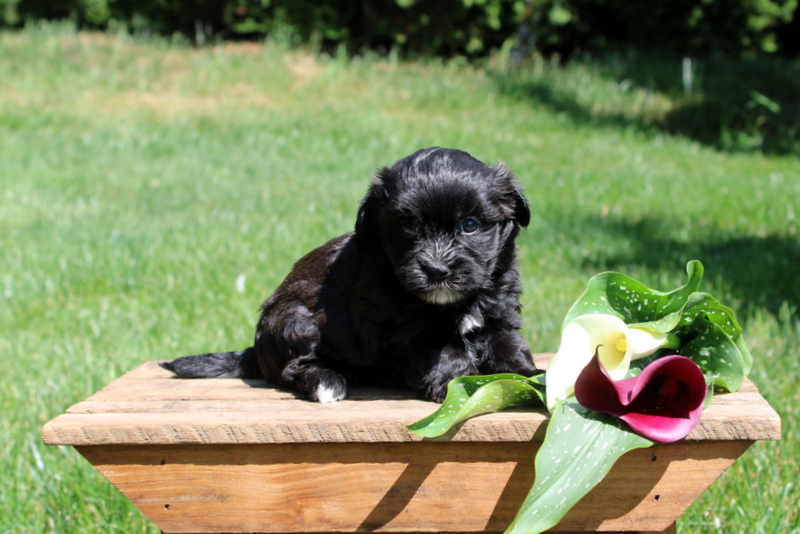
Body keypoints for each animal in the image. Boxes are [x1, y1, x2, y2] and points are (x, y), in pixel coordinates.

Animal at [160, 149, 540, 404]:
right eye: (408, 226)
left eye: (470, 225)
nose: (436, 270)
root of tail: (255, 349)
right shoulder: (404, 330)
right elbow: (446, 351)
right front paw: (460, 385)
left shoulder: (498, 312)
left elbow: (507, 344)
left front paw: (530, 377)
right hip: (294, 320)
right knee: (292, 368)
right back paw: (326, 382)